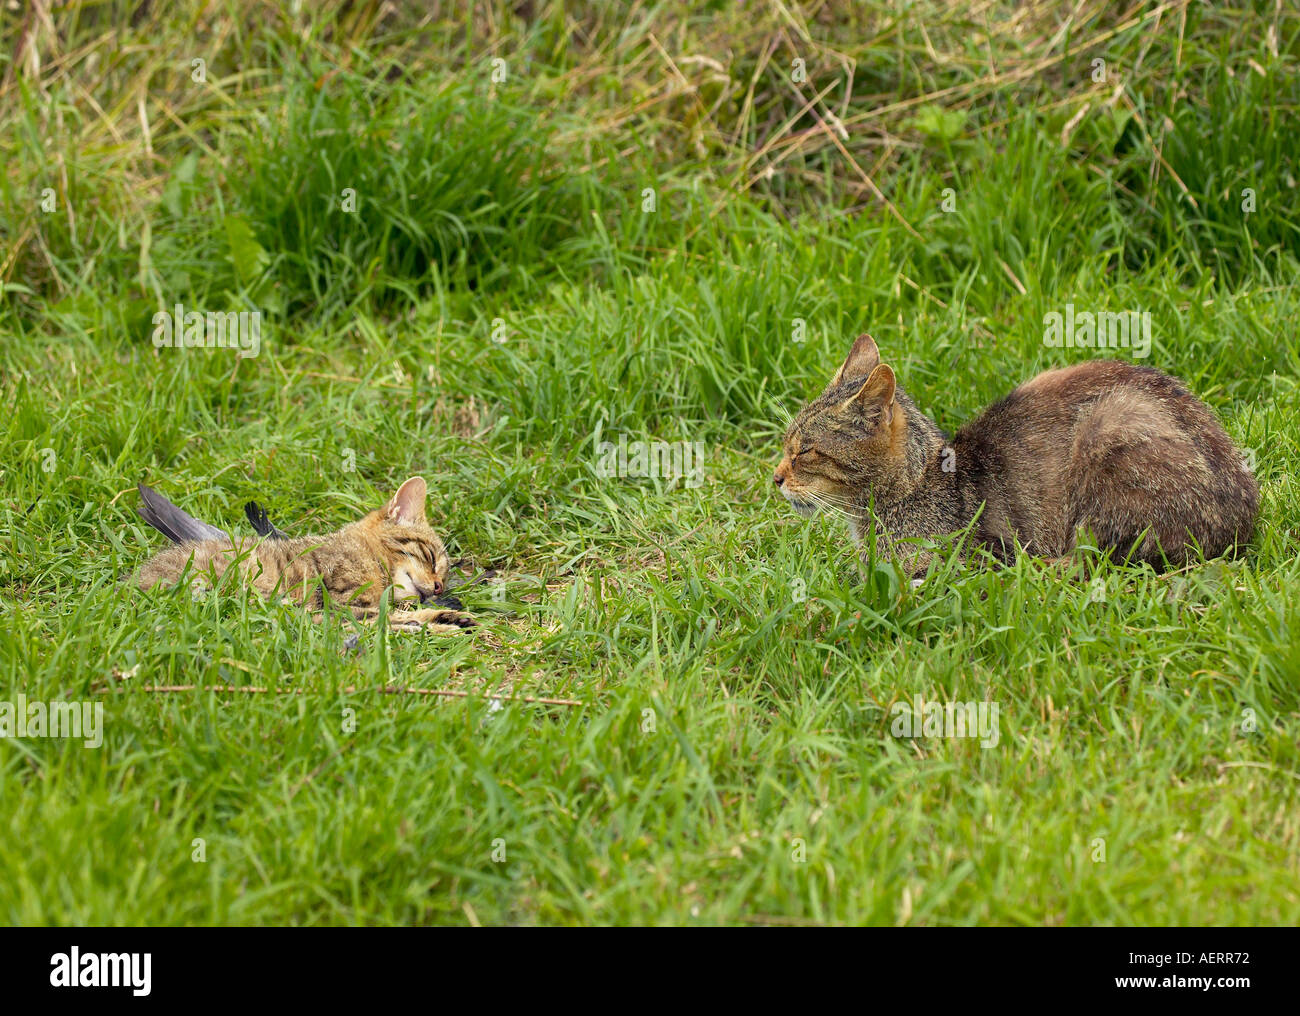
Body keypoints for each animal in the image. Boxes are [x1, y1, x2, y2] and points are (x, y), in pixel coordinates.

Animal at [134, 472, 478, 631]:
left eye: (446, 577)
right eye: (430, 557)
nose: (438, 587)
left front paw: (446, 616)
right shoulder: (338, 602)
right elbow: (391, 617)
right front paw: (443, 621)